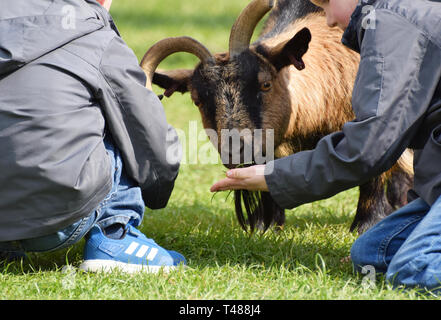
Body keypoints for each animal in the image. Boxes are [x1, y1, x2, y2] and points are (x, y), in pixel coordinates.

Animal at [140, 0, 412, 235]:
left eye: (265, 84)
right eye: (197, 100)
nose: (235, 148)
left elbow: (373, 173)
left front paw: (366, 226)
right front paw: (268, 228)